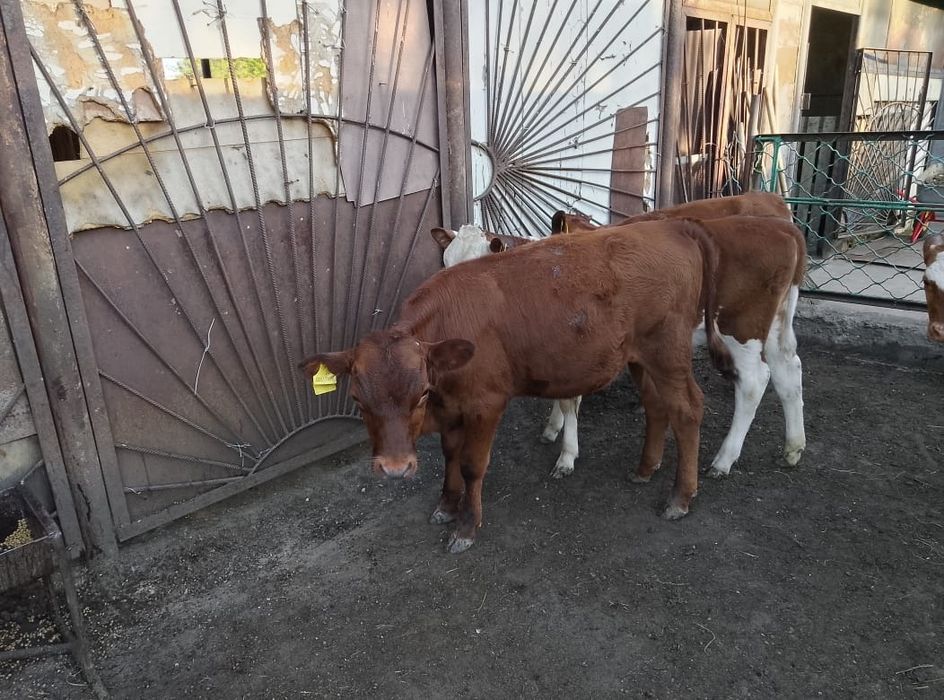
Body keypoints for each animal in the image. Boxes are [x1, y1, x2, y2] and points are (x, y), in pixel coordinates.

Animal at [302, 220, 735, 553]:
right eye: (357, 399)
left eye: (420, 392)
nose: (395, 469)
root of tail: (670, 225)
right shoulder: (452, 408)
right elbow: (449, 456)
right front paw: (446, 505)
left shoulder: (485, 404)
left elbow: (472, 465)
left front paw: (466, 526)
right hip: (640, 357)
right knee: (656, 406)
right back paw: (645, 468)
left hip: (668, 352)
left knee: (688, 409)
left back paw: (681, 496)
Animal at [432, 193, 805, 480]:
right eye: (446, 262)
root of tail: (782, 224)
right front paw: (553, 428)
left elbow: (570, 400)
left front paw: (567, 454)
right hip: (773, 325)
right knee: (789, 370)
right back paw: (793, 448)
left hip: (740, 326)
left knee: (754, 381)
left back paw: (723, 460)